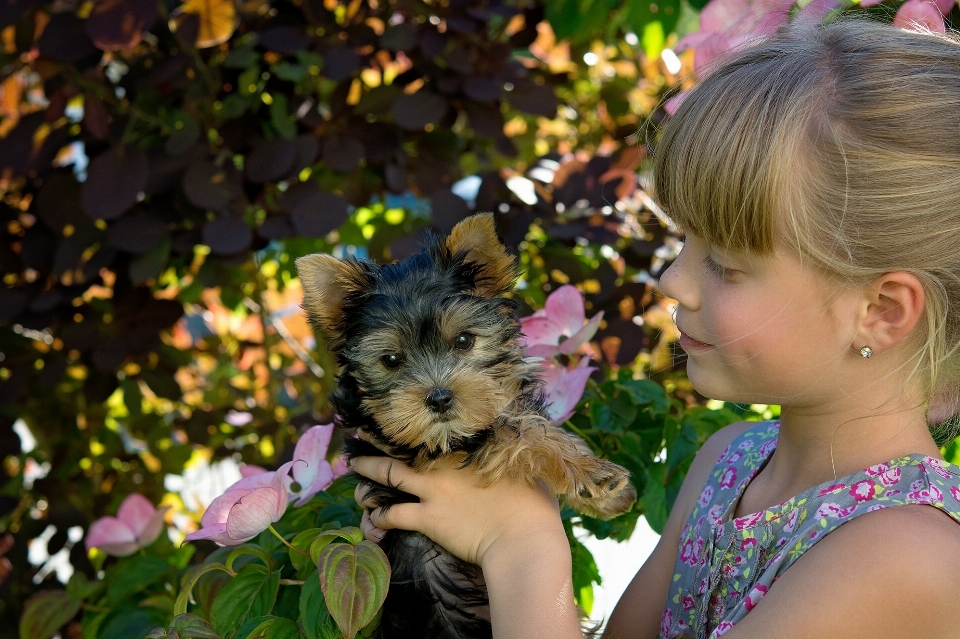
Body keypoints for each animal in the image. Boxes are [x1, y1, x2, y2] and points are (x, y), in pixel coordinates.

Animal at [296, 215, 632, 639]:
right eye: (391, 359)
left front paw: (598, 487)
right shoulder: (423, 446)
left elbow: (525, 421)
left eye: (463, 340)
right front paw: (593, 475)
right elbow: (515, 433)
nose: (439, 398)